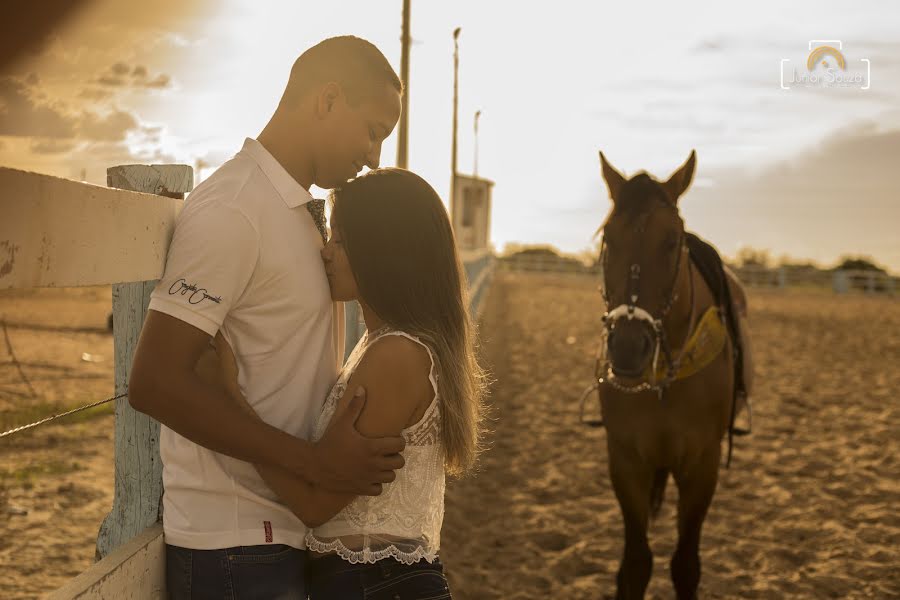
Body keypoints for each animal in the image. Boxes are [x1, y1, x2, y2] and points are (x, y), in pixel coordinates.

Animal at [596, 150, 748, 600]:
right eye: (609, 238)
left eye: (672, 241)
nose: (629, 346)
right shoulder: (626, 460)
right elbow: (635, 564)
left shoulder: (702, 465)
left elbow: (685, 565)